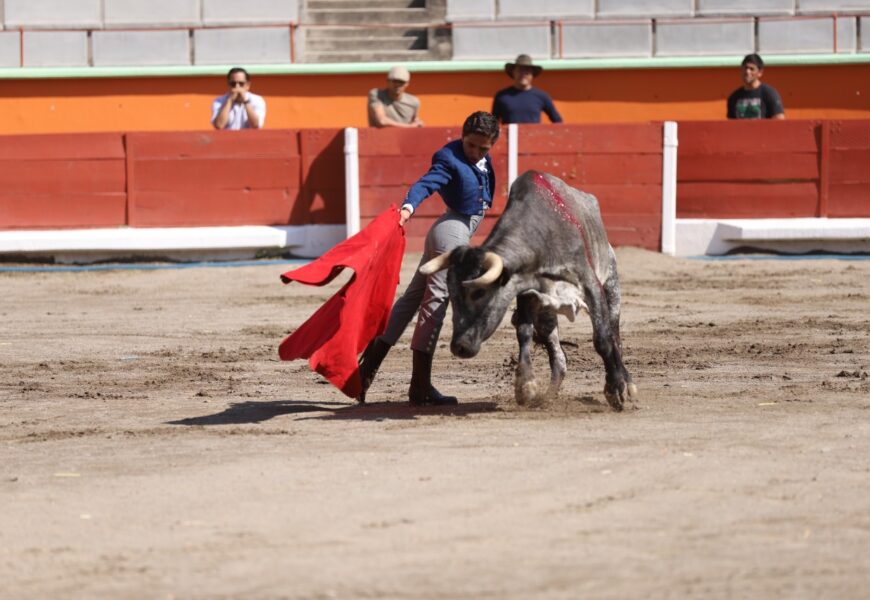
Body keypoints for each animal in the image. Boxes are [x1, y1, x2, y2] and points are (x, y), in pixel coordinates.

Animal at [424, 171, 640, 410]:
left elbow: (603, 338)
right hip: (547, 314)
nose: (459, 347)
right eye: (451, 294)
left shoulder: (590, 284)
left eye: (478, 292)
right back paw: (549, 394)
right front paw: (526, 386)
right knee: (558, 353)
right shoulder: (526, 293)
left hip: (611, 283)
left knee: (614, 334)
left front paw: (615, 389)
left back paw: (627, 383)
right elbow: (524, 333)